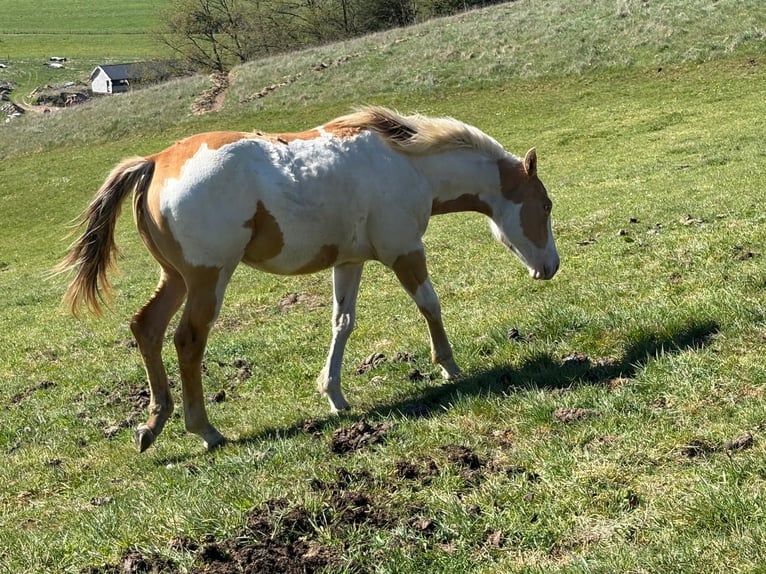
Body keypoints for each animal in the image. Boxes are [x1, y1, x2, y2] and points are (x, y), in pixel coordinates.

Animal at [58, 106, 559, 452]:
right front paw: (448, 366)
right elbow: (429, 304)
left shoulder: (350, 261)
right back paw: (205, 430)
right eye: (546, 205)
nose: (551, 267)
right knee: (187, 340)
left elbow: (343, 323)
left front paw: (334, 394)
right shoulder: (404, 251)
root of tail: (156, 161)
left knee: (146, 328)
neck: (409, 163)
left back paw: (152, 424)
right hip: (207, 279)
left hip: (176, 277)